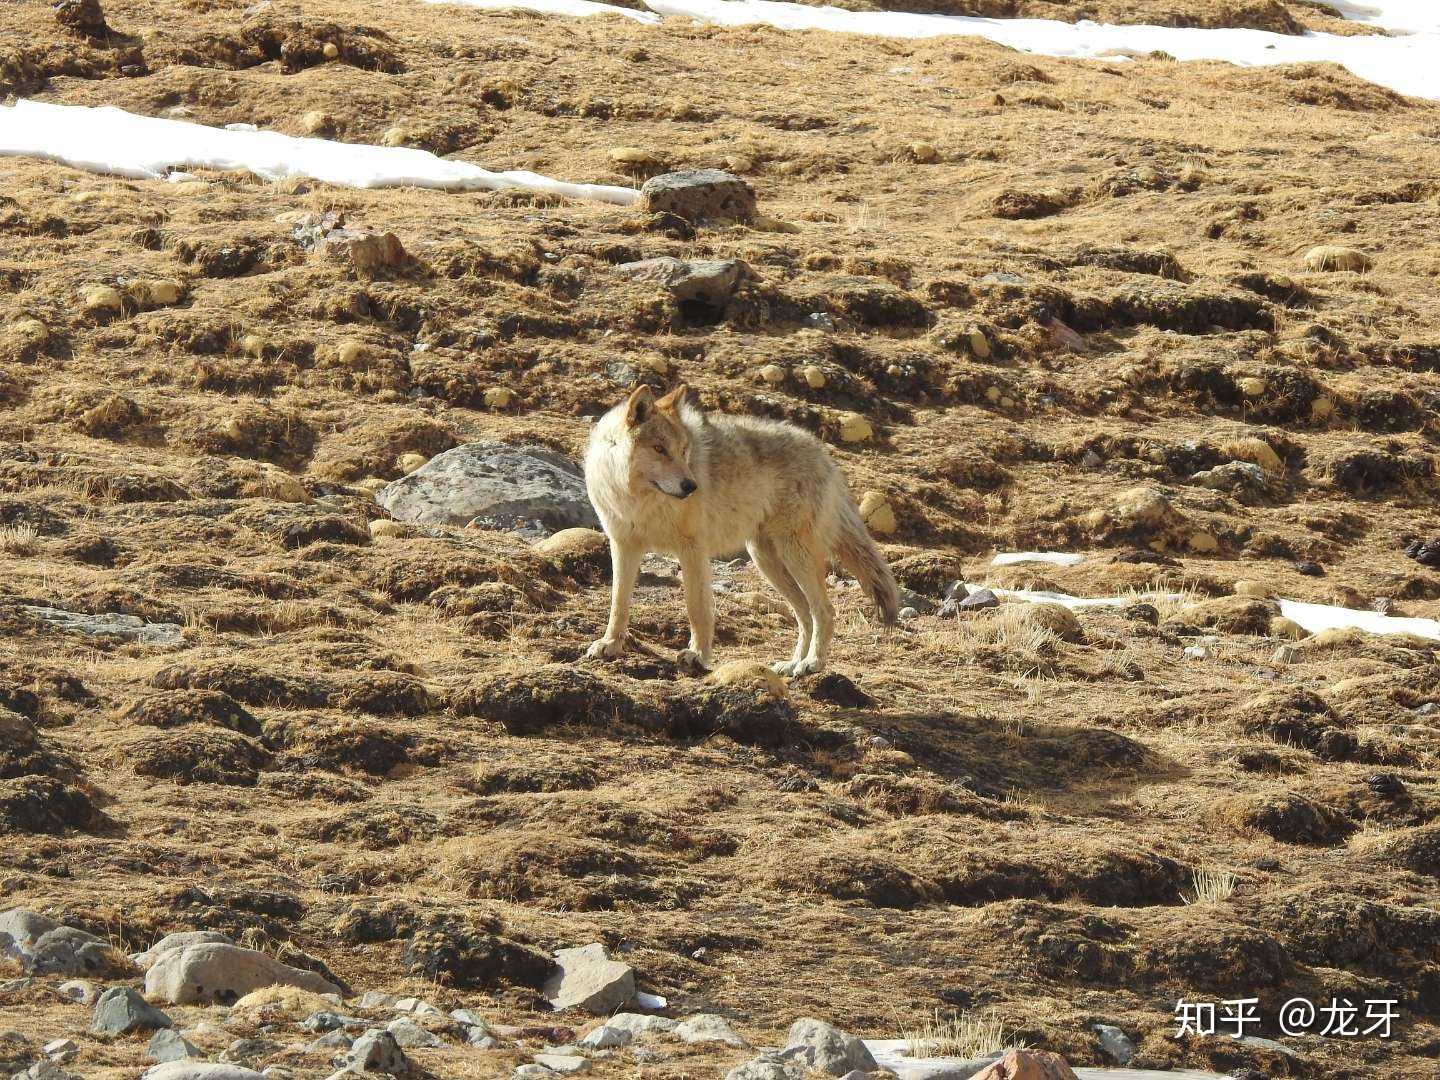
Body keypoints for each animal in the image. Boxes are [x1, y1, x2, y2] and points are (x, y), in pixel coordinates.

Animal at [578, 385, 892, 676]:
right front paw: (609, 644)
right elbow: (618, 602)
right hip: (767, 560)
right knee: (804, 613)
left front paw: (698, 656)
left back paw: (812, 664)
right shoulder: (623, 545)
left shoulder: (692, 549)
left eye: (684, 451)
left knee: (824, 611)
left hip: (793, 555)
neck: (637, 499)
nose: (691, 486)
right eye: (660, 449)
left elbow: (697, 608)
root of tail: (824, 454)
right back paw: (792, 663)